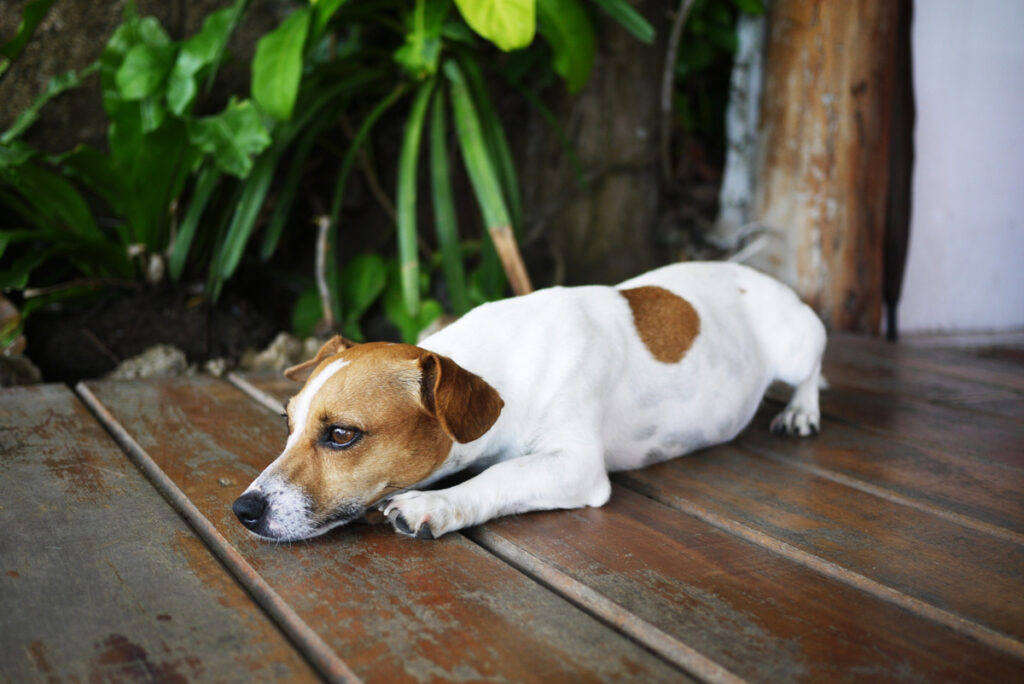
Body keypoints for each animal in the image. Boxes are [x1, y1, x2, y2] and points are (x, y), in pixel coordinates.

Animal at [232, 262, 825, 541]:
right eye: (286, 423)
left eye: (341, 435)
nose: (244, 510)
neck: (498, 373)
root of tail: (758, 275)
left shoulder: (575, 464)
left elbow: (501, 476)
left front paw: (434, 505)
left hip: (798, 345)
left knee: (814, 367)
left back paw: (802, 410)